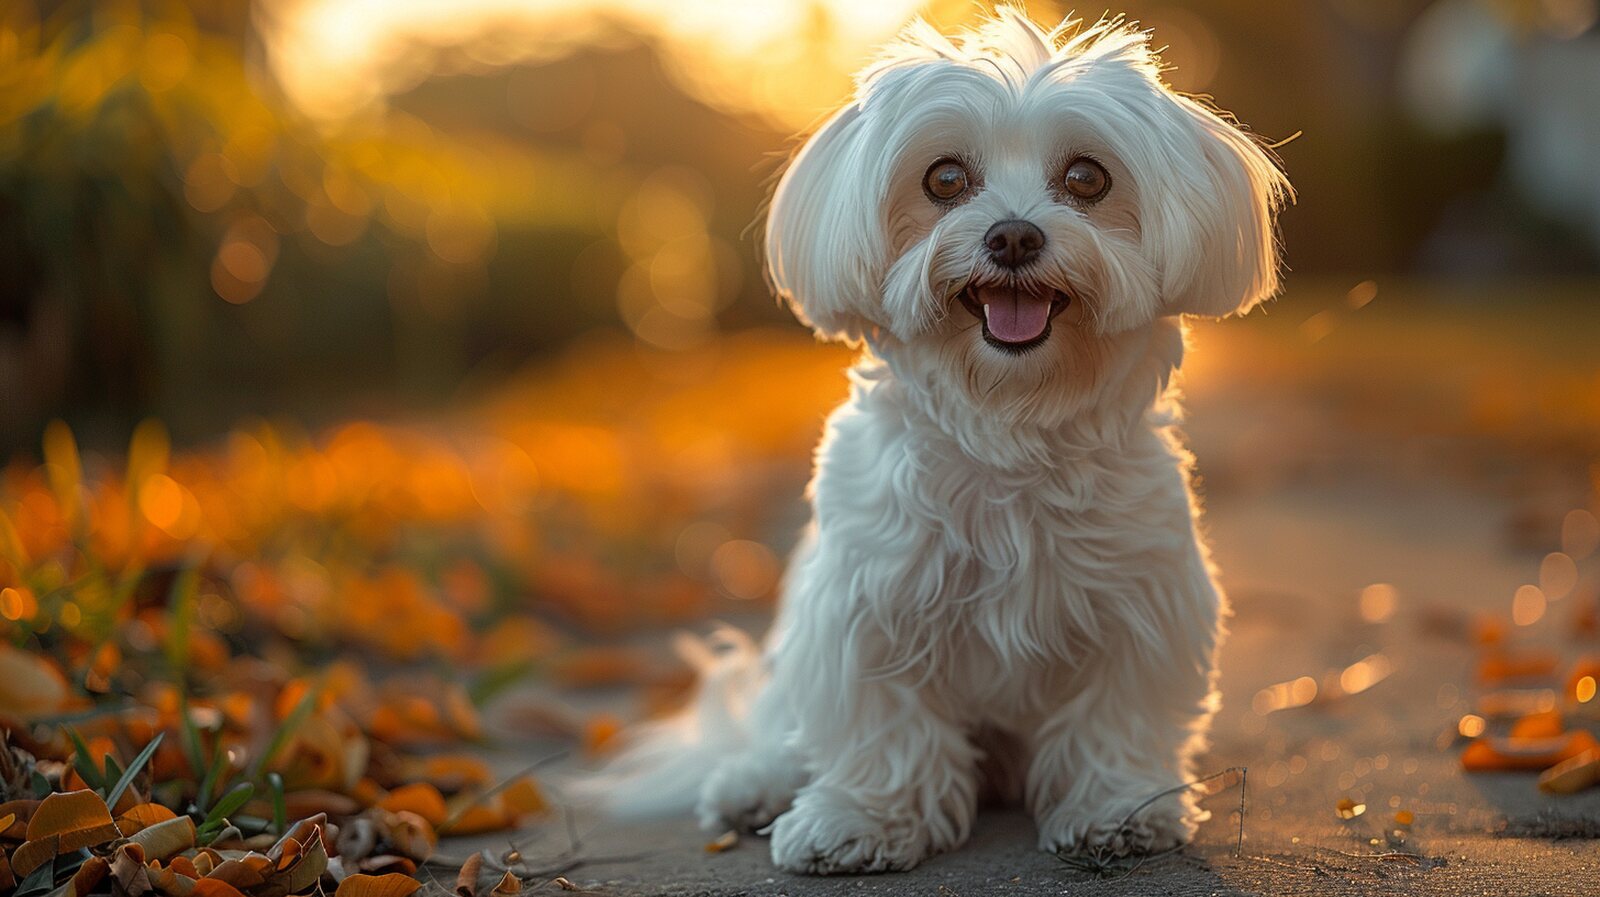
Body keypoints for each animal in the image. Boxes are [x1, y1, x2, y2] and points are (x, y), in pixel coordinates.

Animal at [585, 5, 1286, 876]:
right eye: (945, 179)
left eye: (1088, 178)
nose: (1013, 237)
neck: (1006, 423)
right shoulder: (866, 606)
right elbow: (882, 723)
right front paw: (862, 818)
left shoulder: (1140, 601)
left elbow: (1114, 711)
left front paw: (1118, 806)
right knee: (783, 729)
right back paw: (755, 783)